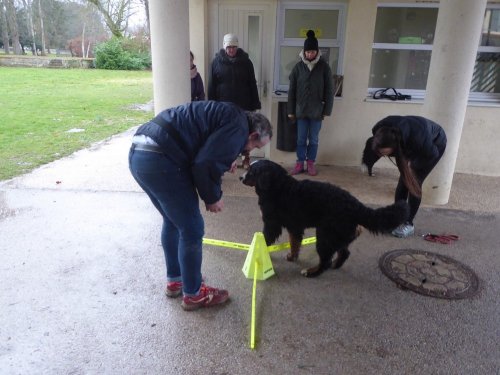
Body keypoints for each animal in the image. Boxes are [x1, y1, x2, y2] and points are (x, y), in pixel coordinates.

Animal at [240, 160, 408, 278]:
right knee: (344, 253)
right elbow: (294, 243)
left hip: (324, 236)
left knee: (325, 261)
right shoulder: (295, 227)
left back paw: (311, 272)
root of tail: (356, 205)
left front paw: (257, 252)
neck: (279, 187)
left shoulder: (272, 224)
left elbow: (266, 238)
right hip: (337, 235)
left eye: (252, 172)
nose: (240, 177)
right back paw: (335, 265)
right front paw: (292, 256)